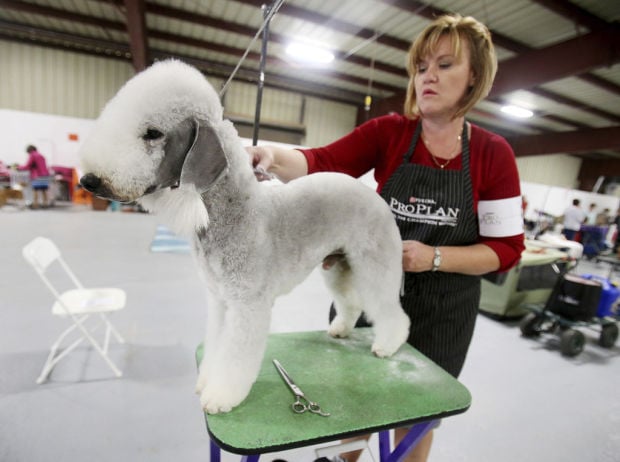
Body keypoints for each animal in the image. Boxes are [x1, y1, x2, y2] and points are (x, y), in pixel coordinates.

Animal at [80, 59, 412, 414]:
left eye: (153, 133)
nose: (88, 181)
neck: (233, 211)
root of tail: (375, 198)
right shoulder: (220, 300)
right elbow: (216, 345)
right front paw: (207, 379)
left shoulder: (248, 303)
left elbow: (237, 355)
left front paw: (221, 395)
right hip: (338, 265)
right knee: (350, 301)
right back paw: (341, 329)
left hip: (375, 263)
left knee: (389, 308)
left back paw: (389, 344)